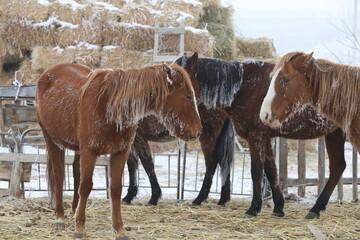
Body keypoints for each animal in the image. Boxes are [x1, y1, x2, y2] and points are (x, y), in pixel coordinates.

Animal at [36, 62, 202, 239]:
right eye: (187, 96)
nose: (198, 131)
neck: (108, 106)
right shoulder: (90, 151)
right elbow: (86, 186)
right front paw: (80, 227)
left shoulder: (120, 152)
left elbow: (115, 189)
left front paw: (119, 229)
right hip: (51, 140)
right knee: (59, 176)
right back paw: (59, 217)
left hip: (77, 149)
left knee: (75, 173)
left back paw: (74, 210)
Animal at [177, 53, 346, 219]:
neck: (245, 87)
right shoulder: (265, 139)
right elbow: (271, 171)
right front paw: (278, 207)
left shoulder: (256, 137)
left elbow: (257, 171)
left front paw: (254, 208)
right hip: (335, 135)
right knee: (338, 167)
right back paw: (316, 209)